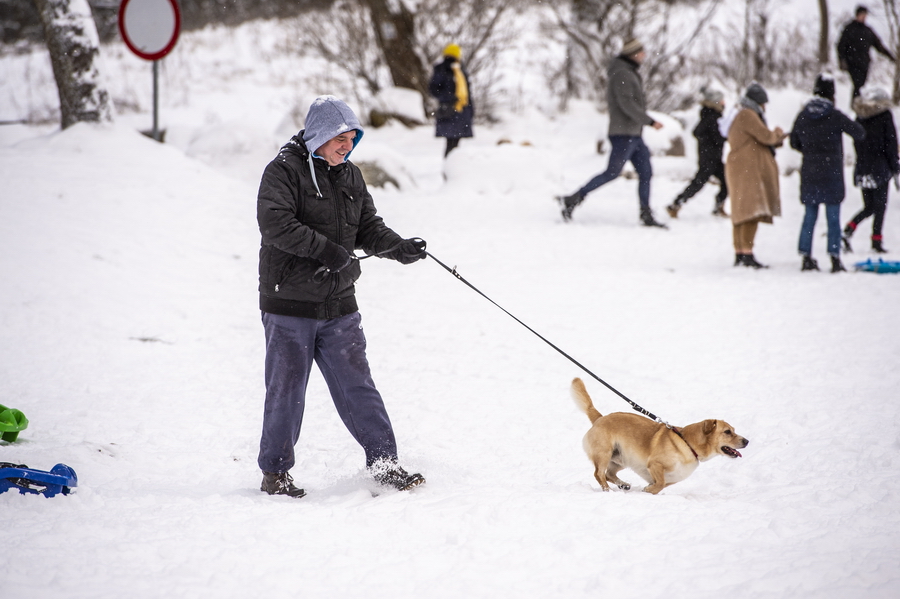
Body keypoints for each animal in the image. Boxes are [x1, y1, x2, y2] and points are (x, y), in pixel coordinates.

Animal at [572, 378, 748, 494]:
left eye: (733, 430)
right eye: (727, 432)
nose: (747, 441)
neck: (688, 445)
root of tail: (599, 417)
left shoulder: (672, 478)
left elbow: (661, 485)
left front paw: (648, 490)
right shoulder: (655, 464)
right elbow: (660, 483)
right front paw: (647, 490)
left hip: (622, 458)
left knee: (609, 474)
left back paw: (623, 485)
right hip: (604, 453)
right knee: (599, 474)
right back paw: (608, 491)